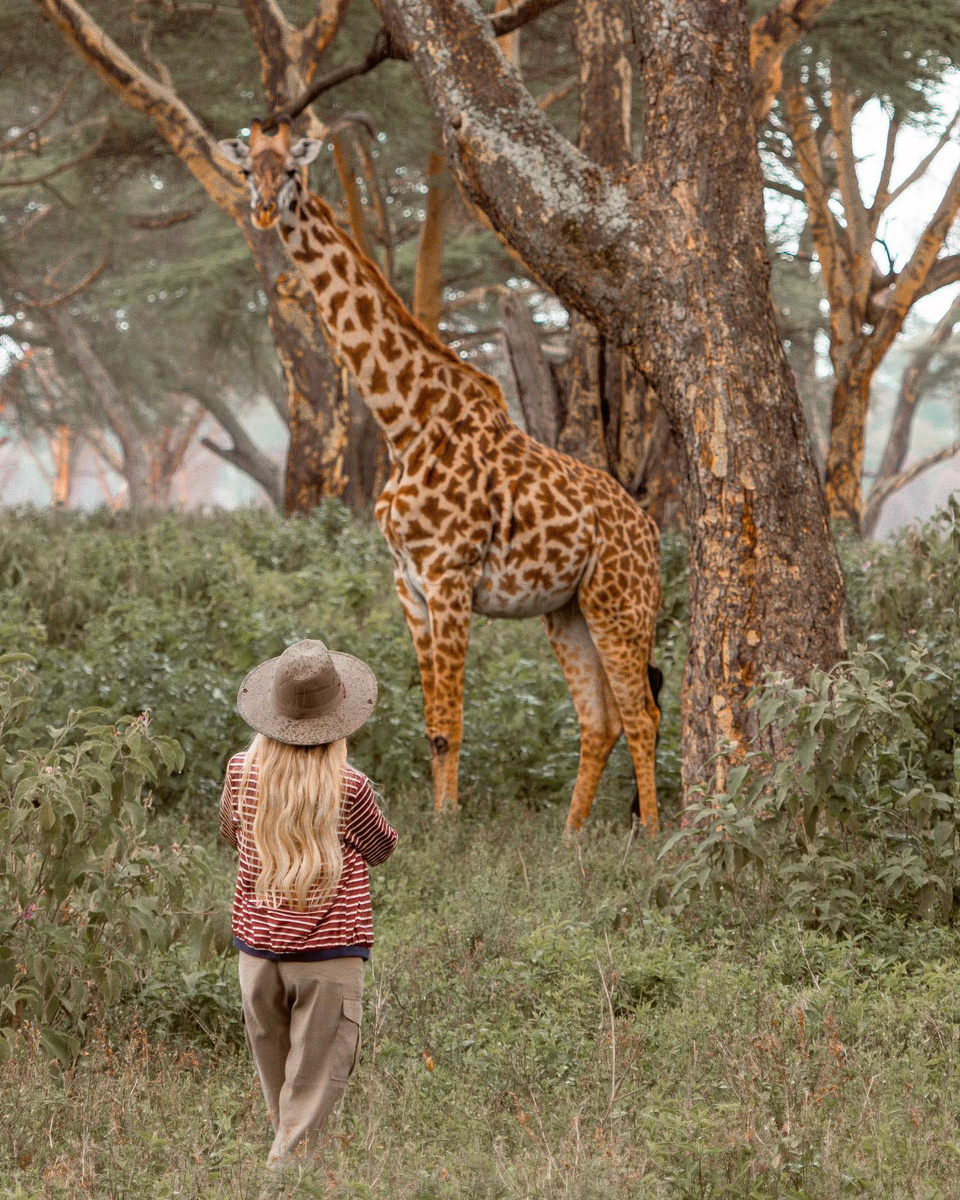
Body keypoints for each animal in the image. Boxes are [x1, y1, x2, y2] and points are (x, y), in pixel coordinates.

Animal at [219, 118, 662, 833]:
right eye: (245, 170)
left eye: (290, 170)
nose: (262, 210)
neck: (406, 420)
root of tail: (651, 534)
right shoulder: (410, 585)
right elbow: (430, 723)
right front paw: (435, 820)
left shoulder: (451, 577)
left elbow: (451, 722)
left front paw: (448, 826)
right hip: (565, 611)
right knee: (600, 720)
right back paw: (571, 836)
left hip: (619, 601)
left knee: (641, 712)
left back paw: (649, 833)